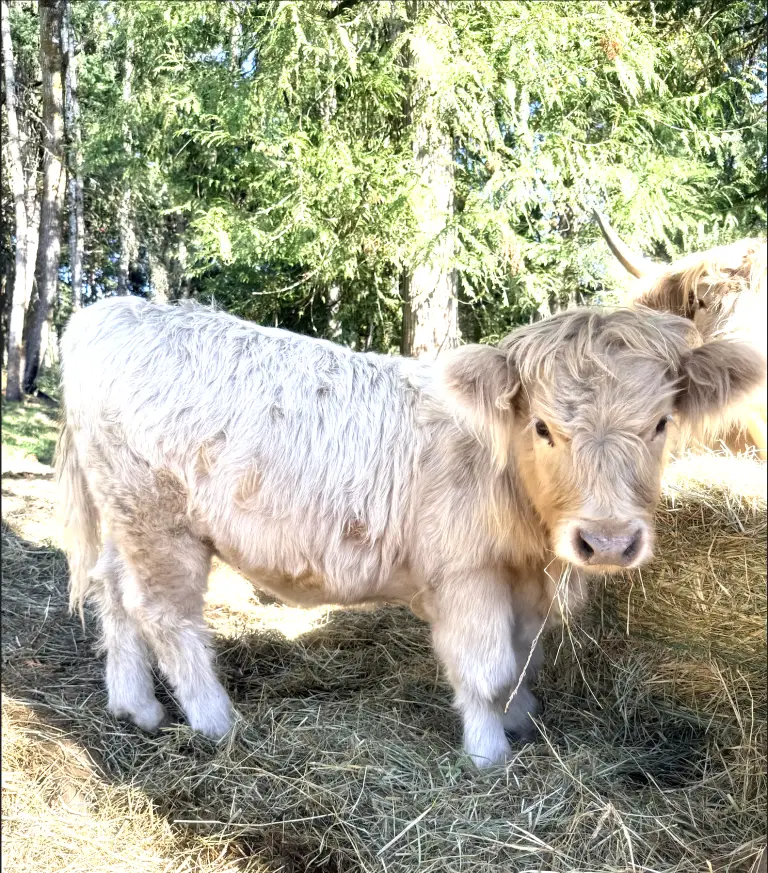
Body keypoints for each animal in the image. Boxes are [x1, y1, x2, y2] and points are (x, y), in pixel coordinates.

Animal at [56, 296, 764, 767]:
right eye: (543, 427)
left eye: (661, 424)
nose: (609, 541)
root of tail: (111, 312)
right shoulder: (468, 574)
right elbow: (487, 667)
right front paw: (489, 753)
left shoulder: (521, 580)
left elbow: (522, 659)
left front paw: (520, 719)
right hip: (159, 518)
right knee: (165, 614)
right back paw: (214, 722)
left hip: (123, 515)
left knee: (113, 596)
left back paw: (136, 707)